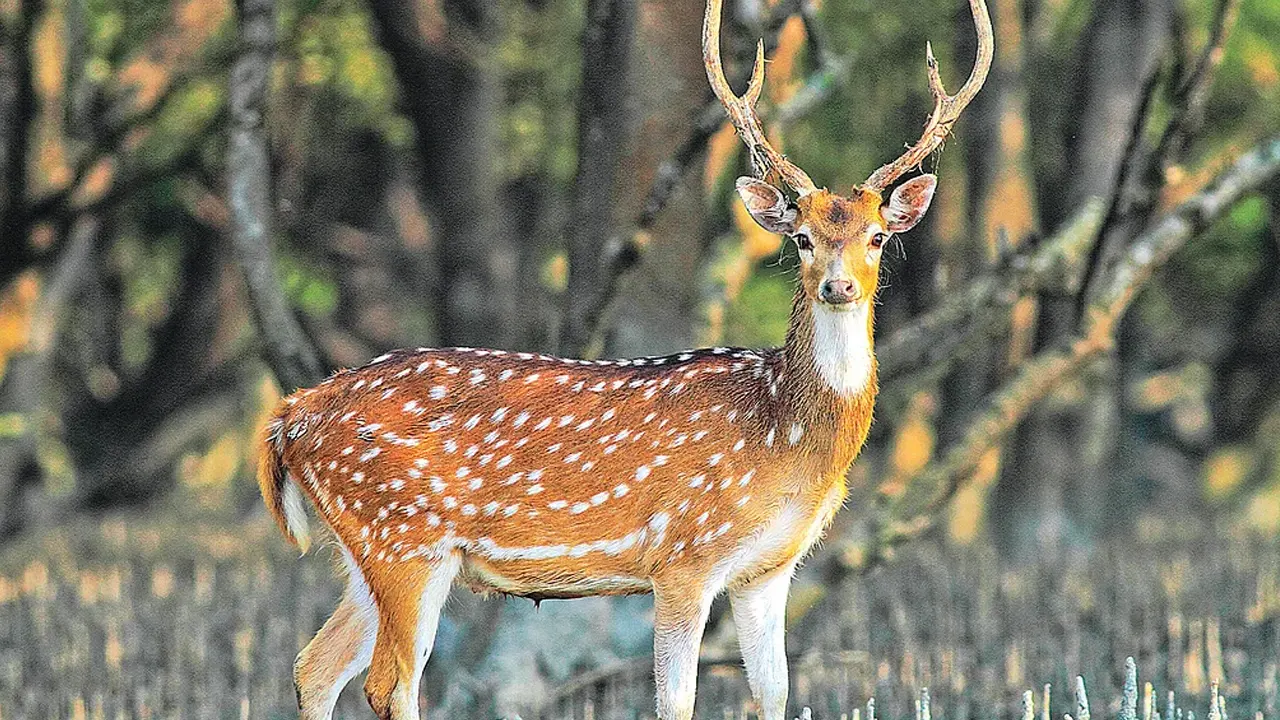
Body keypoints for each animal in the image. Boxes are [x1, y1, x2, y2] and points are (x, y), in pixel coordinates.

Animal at [259, 0, 993, 712]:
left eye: (876, 236)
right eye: (804, 238)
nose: (838, 286)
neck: (787, 436)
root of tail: (291, 416)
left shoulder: (768, 569)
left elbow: (775, 692)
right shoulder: (684, 554)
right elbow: (677, 699)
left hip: (368, 551)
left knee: (313, 666)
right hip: (405, 537)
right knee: (389, 683)